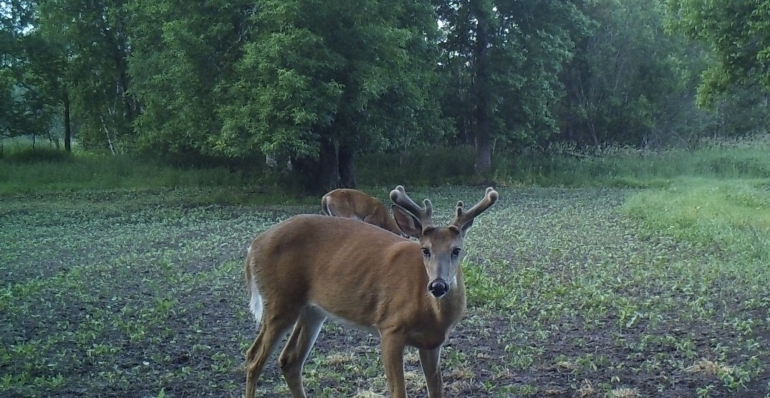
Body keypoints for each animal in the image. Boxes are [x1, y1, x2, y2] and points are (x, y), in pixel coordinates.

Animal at [244, 186, 498, 398]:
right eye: (425, 250)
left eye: (457, 250)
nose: (438, 285)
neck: (432, 313)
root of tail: (254, 245)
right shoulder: (390, 327)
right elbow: (398, 393)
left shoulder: (432, 343)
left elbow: (436, 391)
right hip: (280, 301)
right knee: (254, 358)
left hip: (312, 310)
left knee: (289, 360)